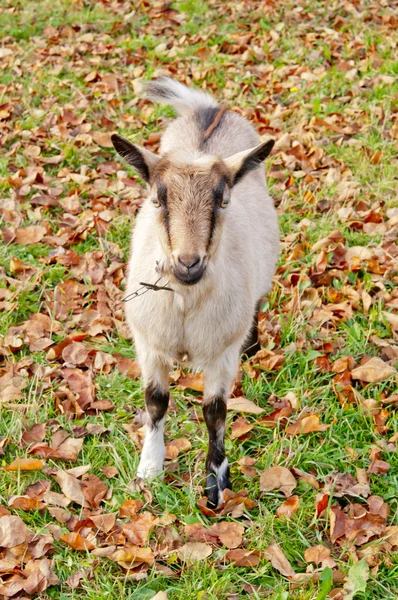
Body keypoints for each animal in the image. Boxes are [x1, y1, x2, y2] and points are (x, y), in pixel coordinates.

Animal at [112, 76, 280, 506]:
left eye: (222, 201)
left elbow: (214, 411)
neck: (186, 303)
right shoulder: (149, 343)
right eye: (158, 199)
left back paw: (254, 343)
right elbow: (156, 402)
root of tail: (210, 111)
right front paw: (150, 469)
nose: (188, 263)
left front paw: (215, 483)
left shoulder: (221, 351)